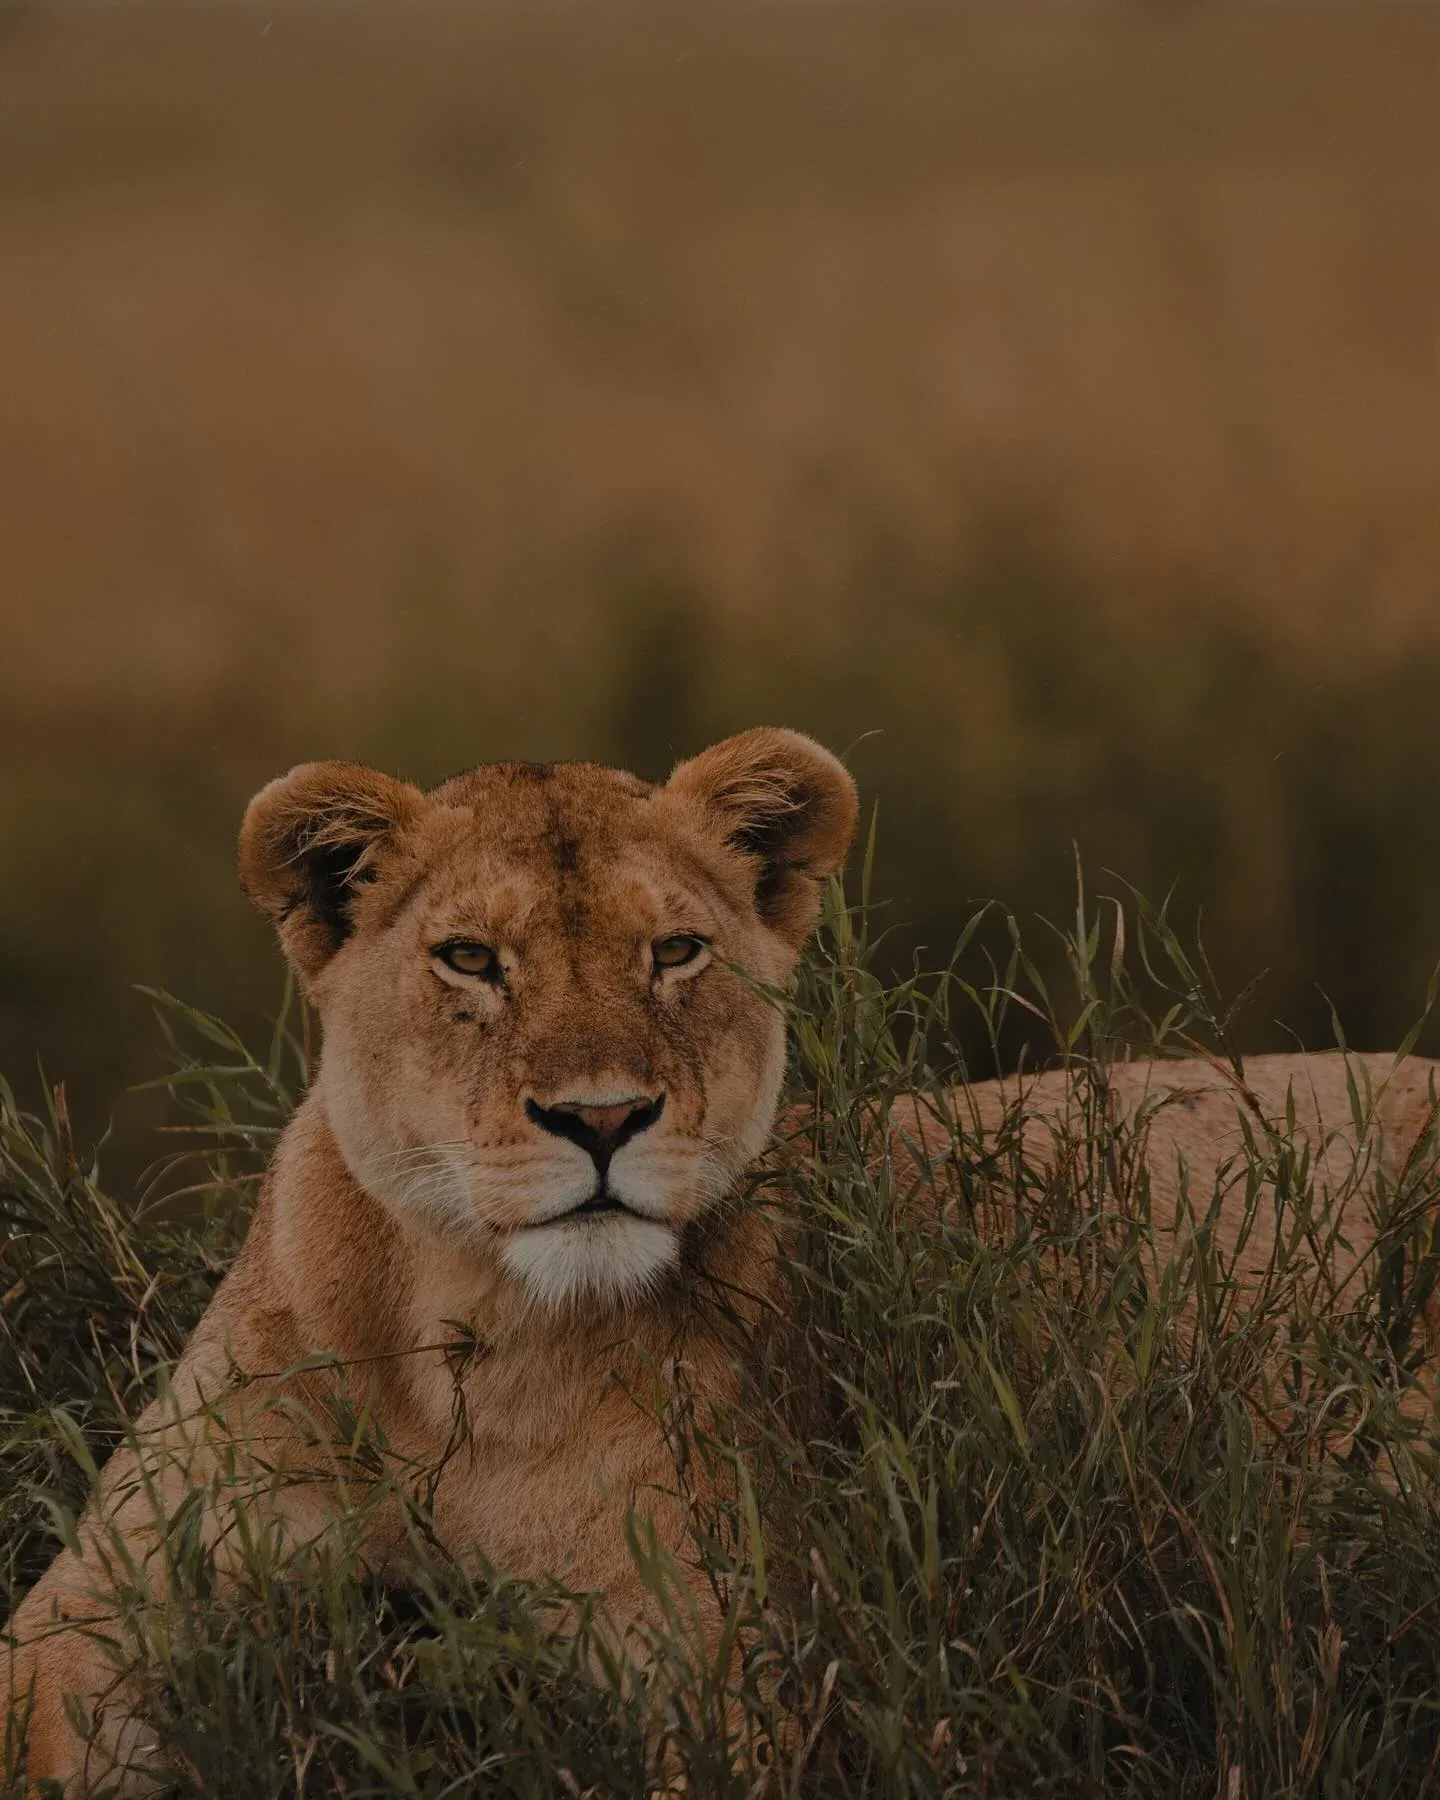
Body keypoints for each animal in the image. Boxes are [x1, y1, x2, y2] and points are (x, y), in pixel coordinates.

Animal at [5, 726, 1440, 1794]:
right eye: (470, 959)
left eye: (676, 951)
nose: (600, 1119)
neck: (459, 1349)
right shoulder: (103, 1600)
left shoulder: (729, 1668)